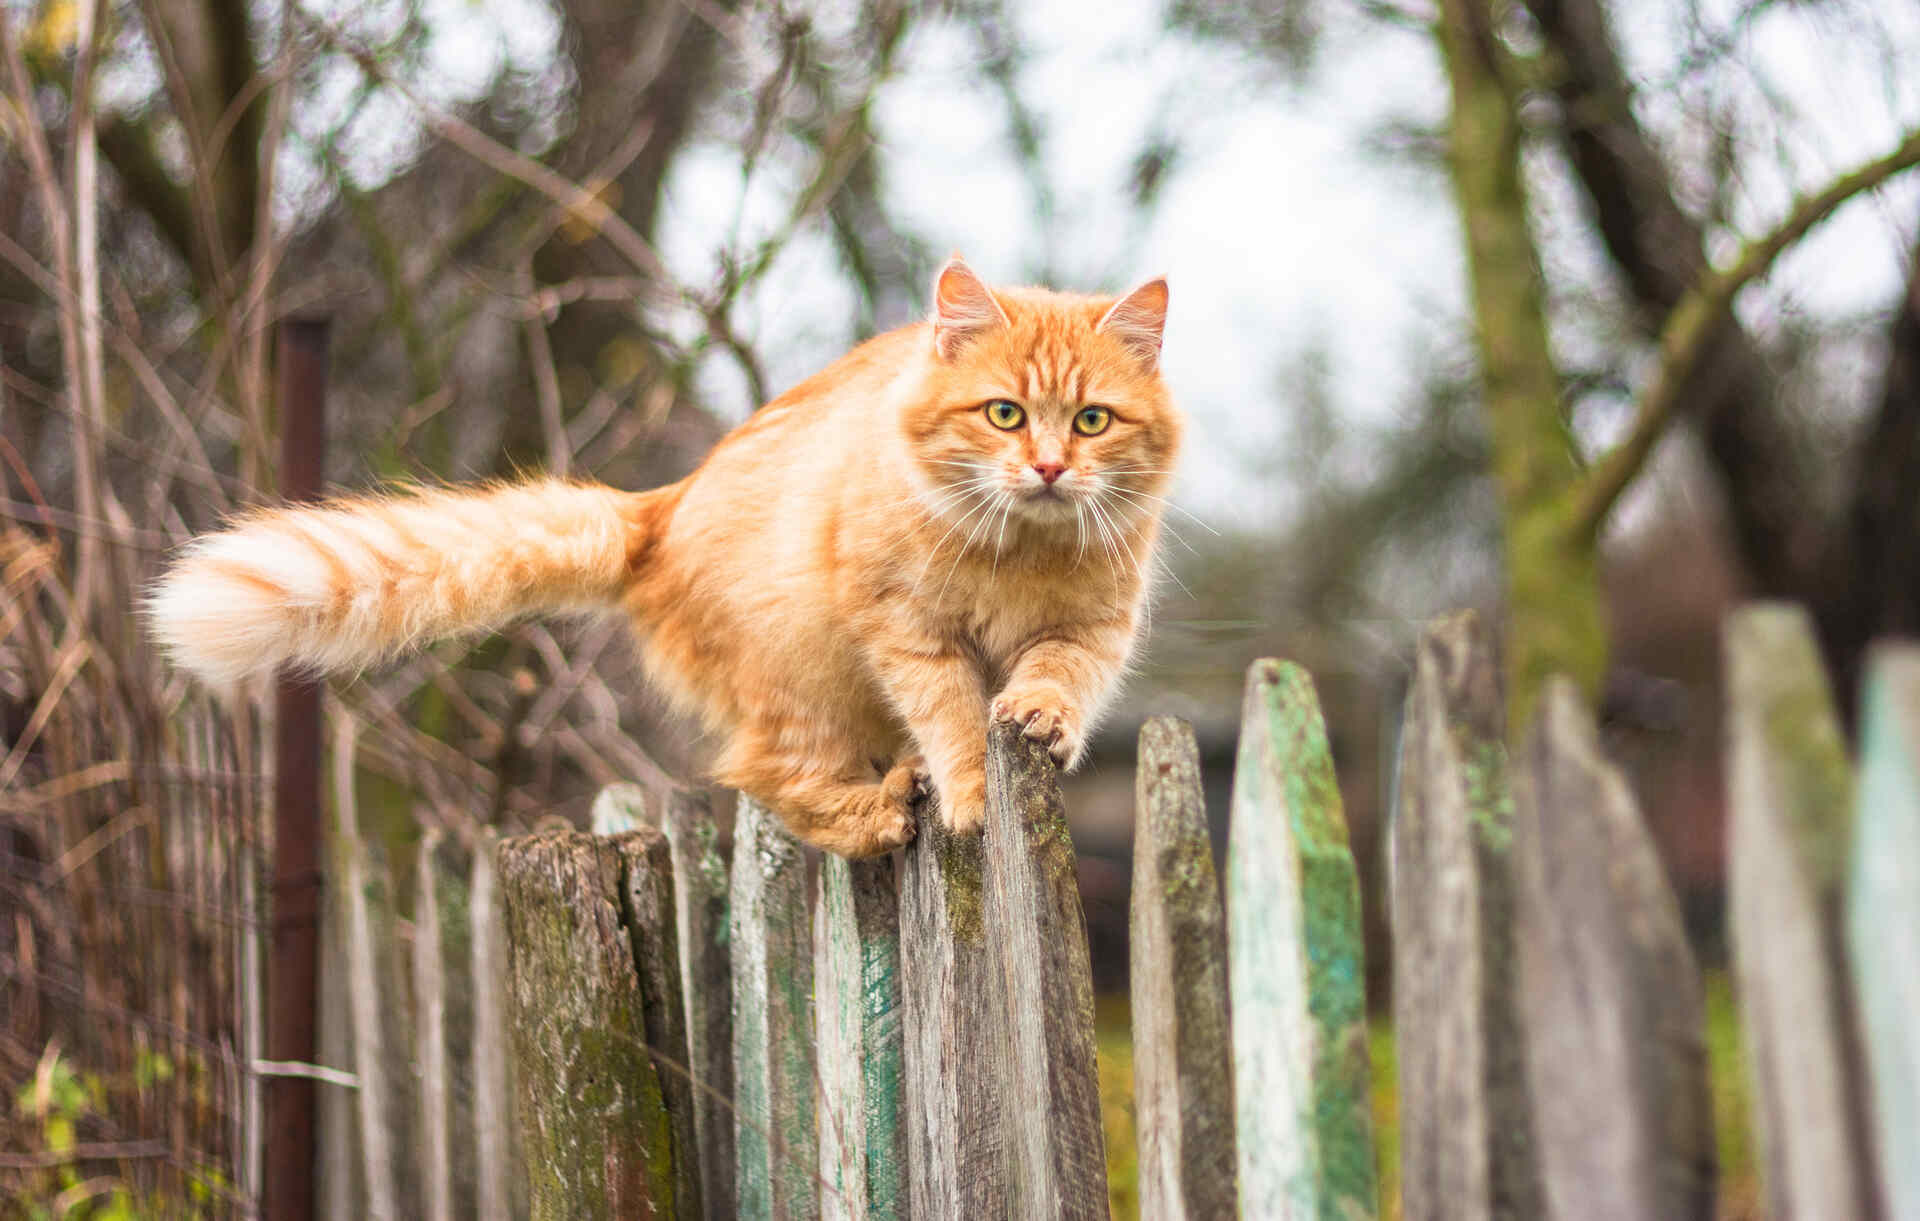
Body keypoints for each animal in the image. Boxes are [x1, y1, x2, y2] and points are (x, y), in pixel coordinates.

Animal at [157, 257, 1182, 852]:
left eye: (1093, 421)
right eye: (1004, 413)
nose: (1048, 467)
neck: (1020, 551)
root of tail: (661, 508)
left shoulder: (1090, 632)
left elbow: (1051, 681)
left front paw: (1040, 720)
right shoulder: (906, 629)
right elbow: (955, 718)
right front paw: (970, 792)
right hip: (797, 680)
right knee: (769, 778)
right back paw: (881, 811)